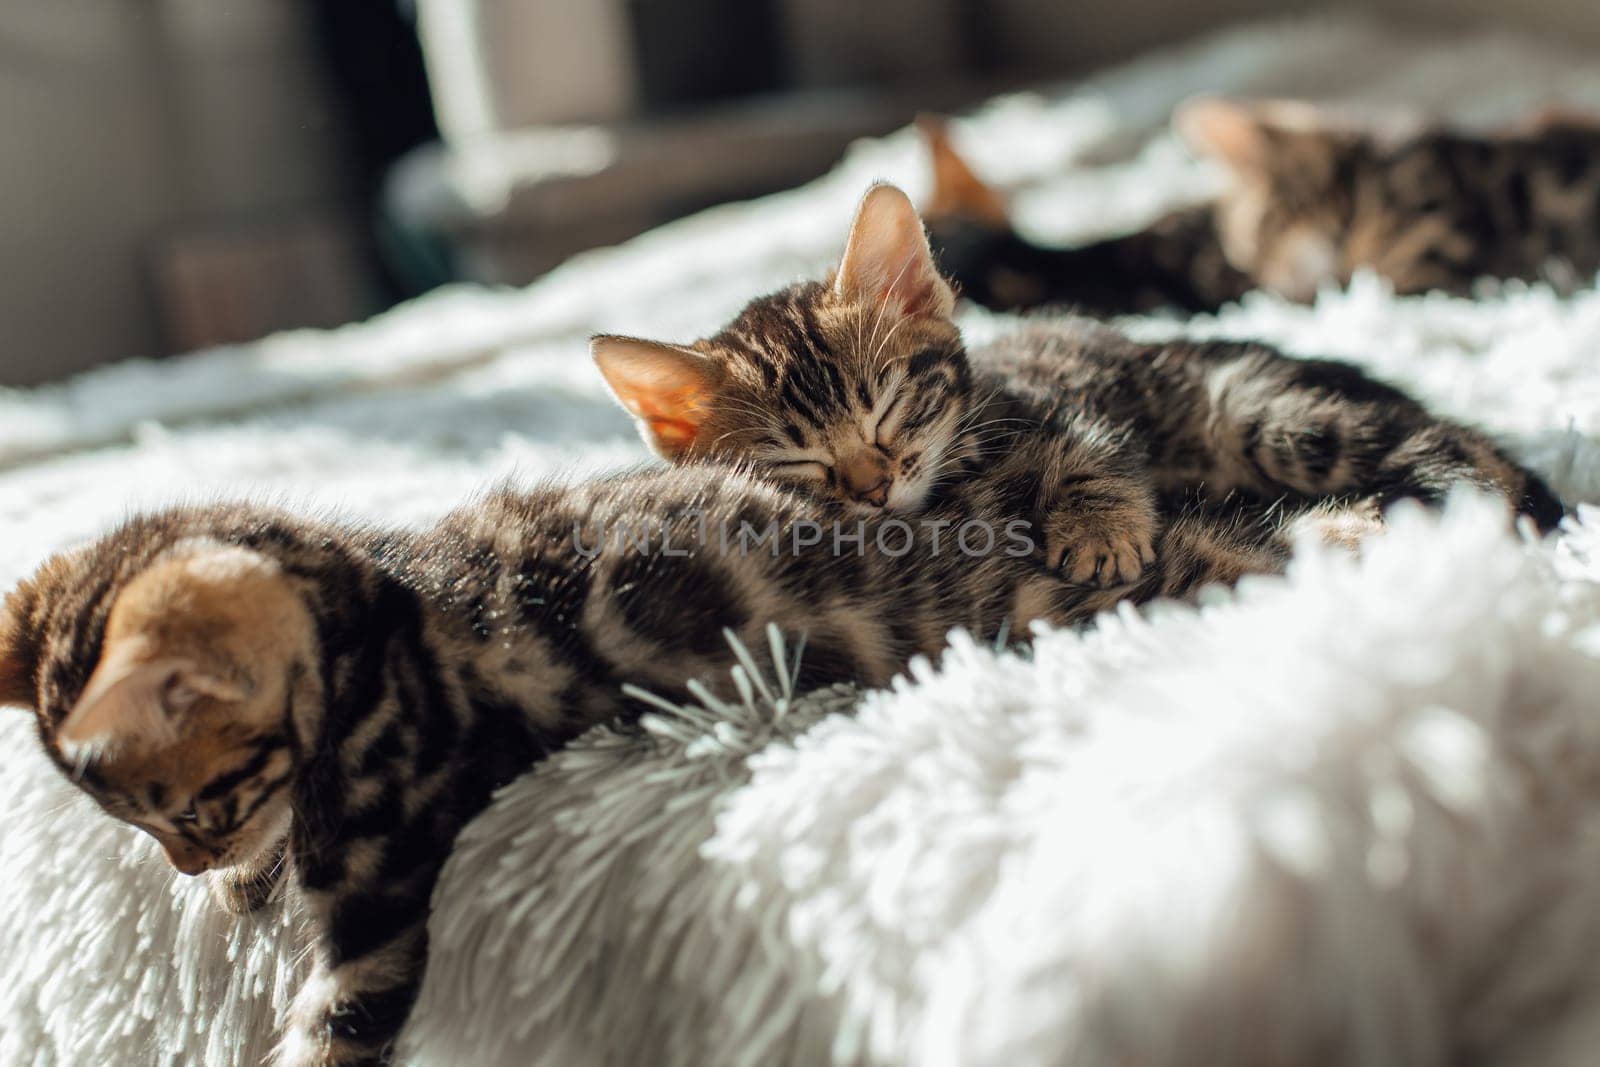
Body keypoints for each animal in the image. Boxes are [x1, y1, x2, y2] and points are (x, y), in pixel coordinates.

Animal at [0, 467, 1299, 1067]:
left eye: (185, 803)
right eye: (149, 824)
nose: (185, 859)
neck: (372, 608)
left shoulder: (386, 870)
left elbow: (335, 1017)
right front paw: (246, 878)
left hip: (1035, 598)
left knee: (1222, 554)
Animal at [598, 183, 1561, 585]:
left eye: (891, 406)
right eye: (794, 464)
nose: (874, 490)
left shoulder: (1069, 412)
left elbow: (1095, 458)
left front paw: (1098, 530)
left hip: (1263, 413)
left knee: (1451, 446)